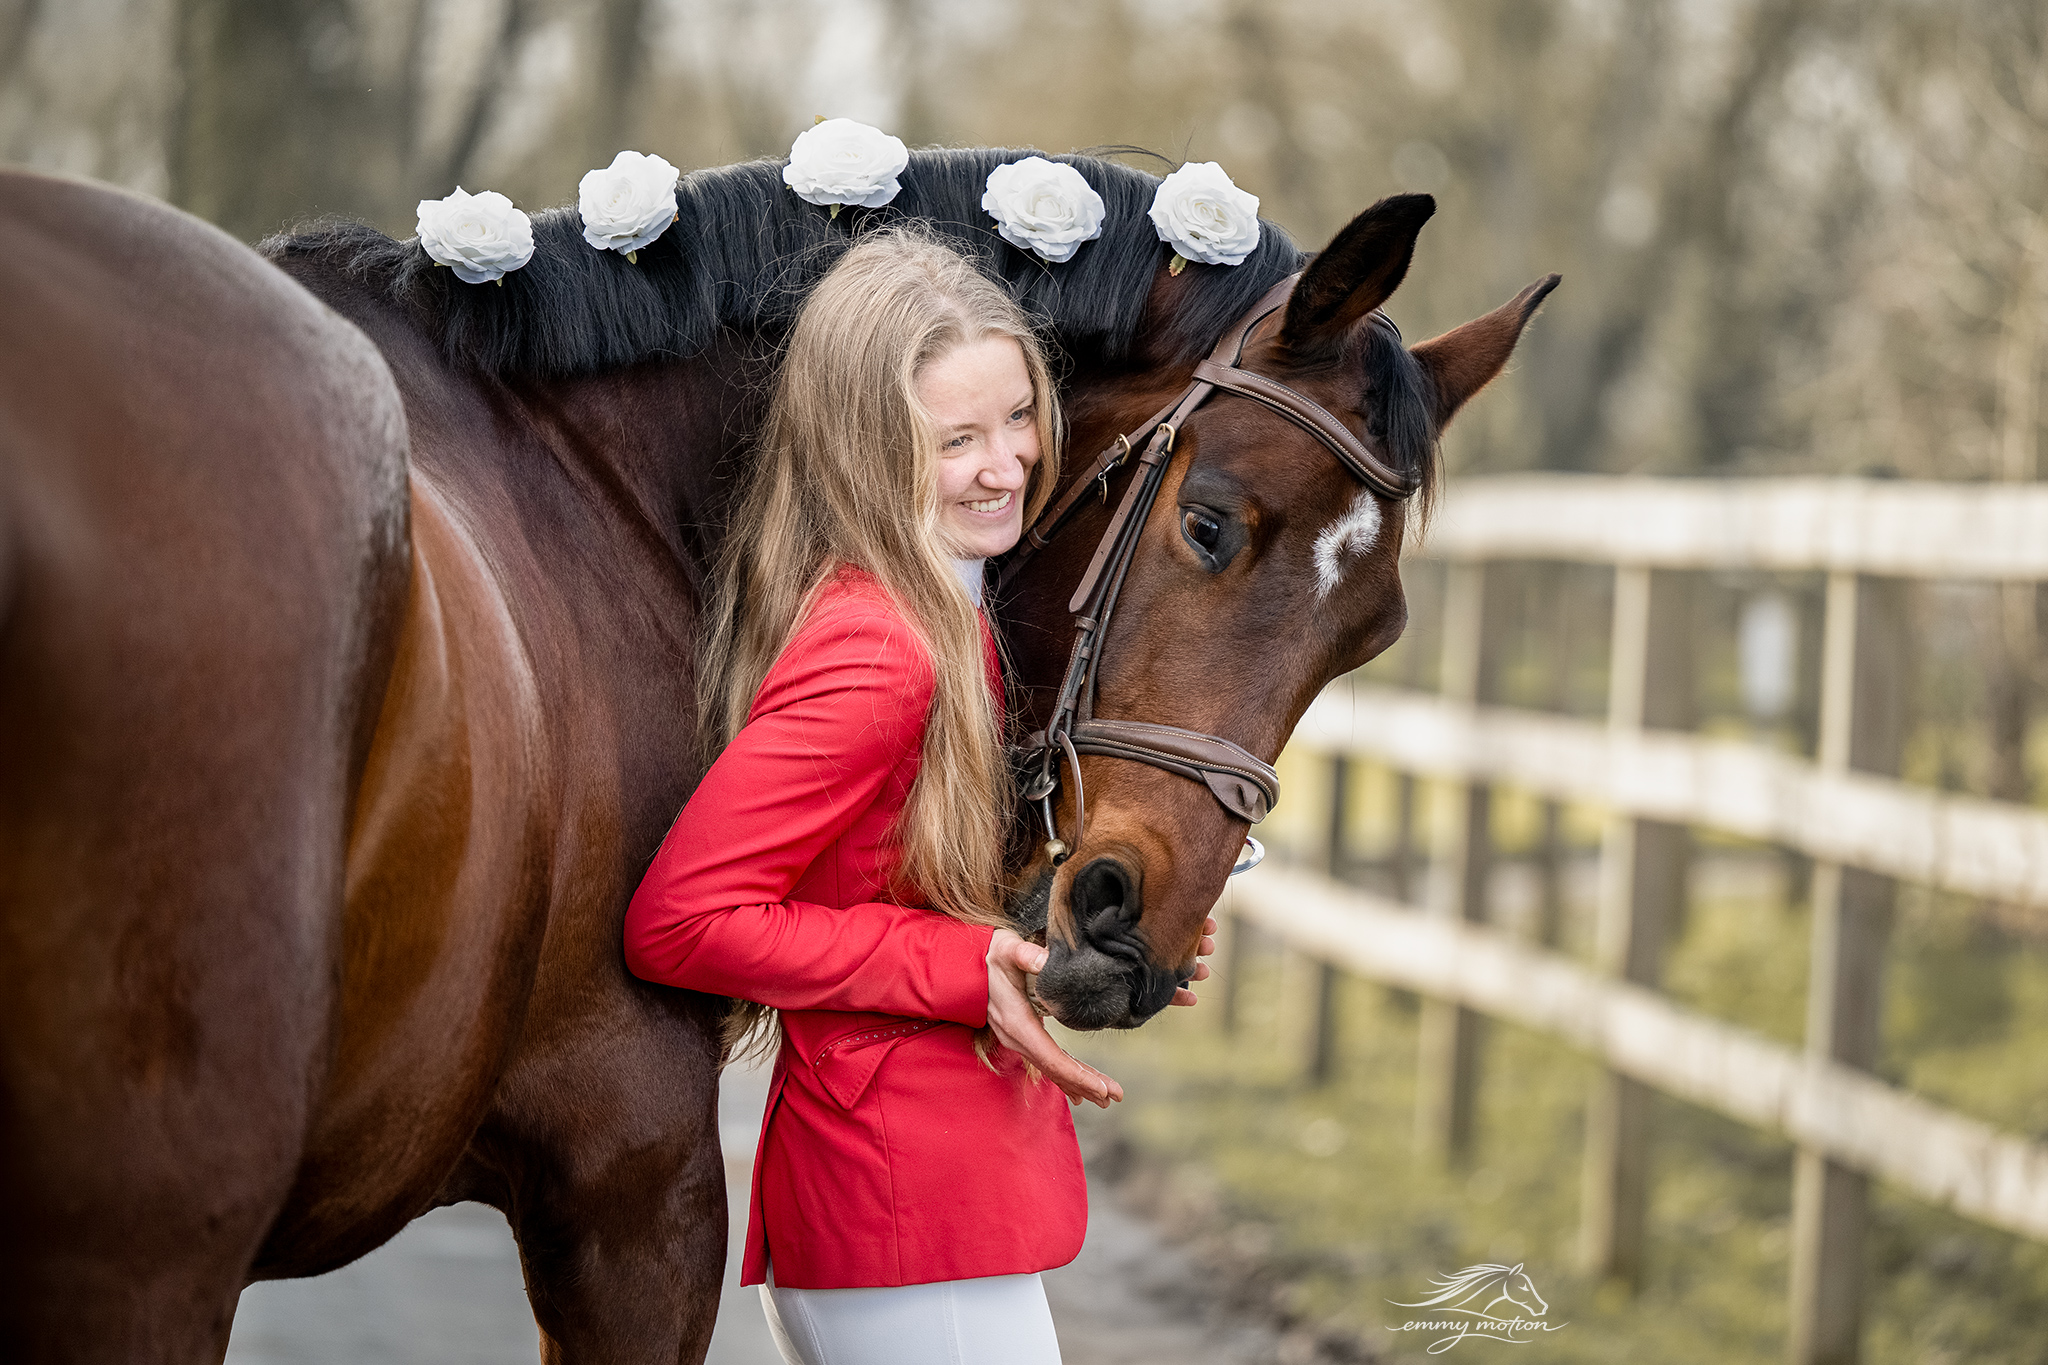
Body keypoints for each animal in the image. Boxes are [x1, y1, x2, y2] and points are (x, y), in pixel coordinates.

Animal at [0, 148, 1553, 1363]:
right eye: (1212, 522)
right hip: (148, 1249)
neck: (582, 482)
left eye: (1372, 631)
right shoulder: (634, 1182)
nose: (1133, 930)